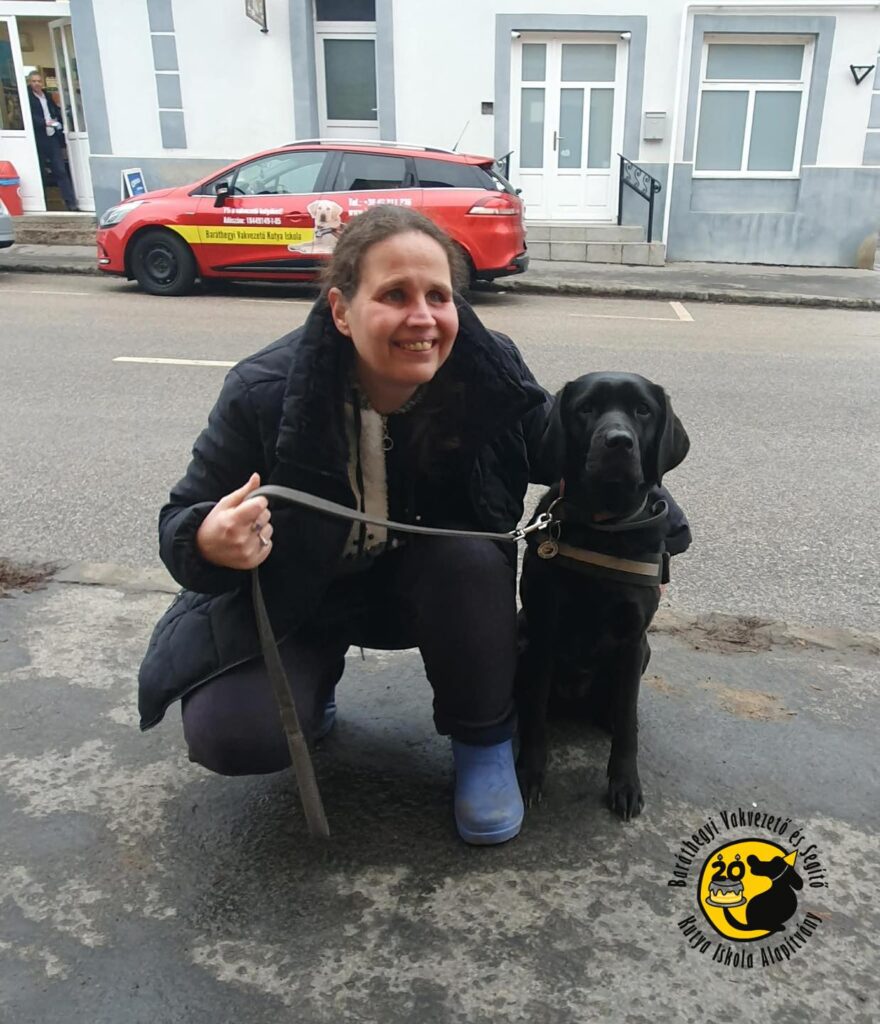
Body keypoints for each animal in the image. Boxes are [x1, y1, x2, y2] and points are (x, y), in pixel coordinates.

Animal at [516, 372, 691, 820]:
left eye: (643, 410)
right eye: (586, 408)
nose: (618, 442)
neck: (603, 528)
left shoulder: (632, 640)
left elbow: (627, 722)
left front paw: (625, 784)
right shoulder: (543, 630)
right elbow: (535, 714)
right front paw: (528, 774)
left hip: (644, 651)